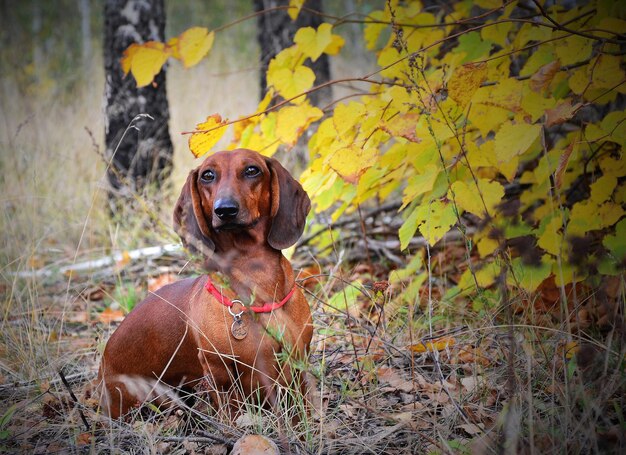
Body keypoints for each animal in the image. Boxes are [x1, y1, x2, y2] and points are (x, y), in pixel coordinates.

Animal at [98, 148, 312, 418]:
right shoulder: (218, 371)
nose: (225, 210)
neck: (254, 273)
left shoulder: (300, 362)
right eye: (207, 175)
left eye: (252, 170)